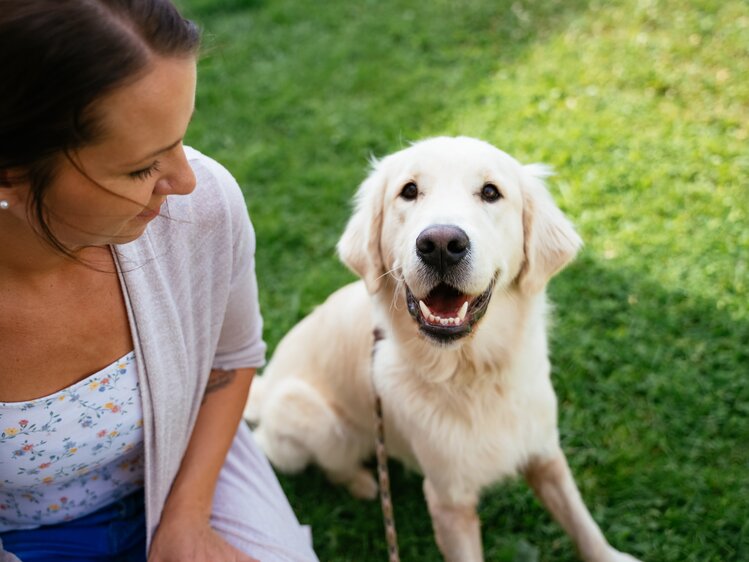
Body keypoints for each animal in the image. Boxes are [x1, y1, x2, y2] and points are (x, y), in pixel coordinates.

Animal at [244, 137, 636, 560]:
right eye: (409, 191)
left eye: (490, 192)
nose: (442, 245)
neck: (474, 374)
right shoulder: (449, 498)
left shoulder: (545, 453)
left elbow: (580, 520)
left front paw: (610, 556)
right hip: (308, 413)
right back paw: (363, 483)